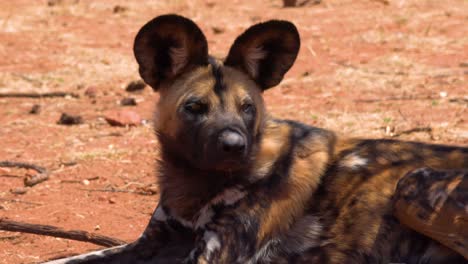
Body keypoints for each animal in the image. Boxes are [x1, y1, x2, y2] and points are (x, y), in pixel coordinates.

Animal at [43, 14, 464, 264]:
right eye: (195, 107)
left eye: (247, 108)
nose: (234, 145)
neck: (194, 187)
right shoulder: (152, 241)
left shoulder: (214, 255)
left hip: (412, 184)